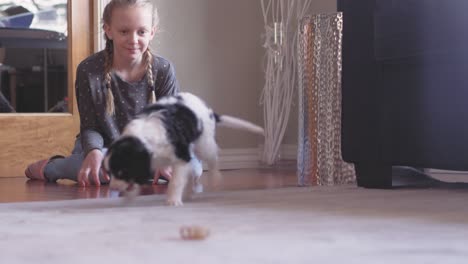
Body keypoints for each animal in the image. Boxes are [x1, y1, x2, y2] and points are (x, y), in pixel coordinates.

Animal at [103, 93, 264, 206]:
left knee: (212, 160)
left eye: (122, 171)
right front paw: (129, 198)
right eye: (110, 172)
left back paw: (215, 180)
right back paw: (189, 193)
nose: (113, 188)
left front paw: (173, 200)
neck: (145, 139)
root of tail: (209, 111)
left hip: (204, 143)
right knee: (194, 171)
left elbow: (176, 181)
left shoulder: (181, 156)